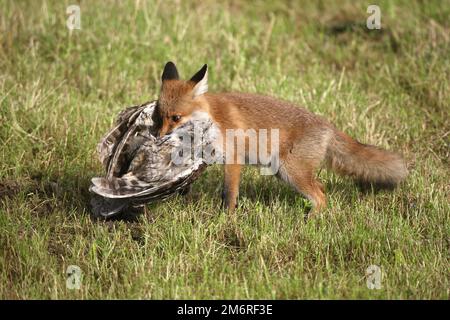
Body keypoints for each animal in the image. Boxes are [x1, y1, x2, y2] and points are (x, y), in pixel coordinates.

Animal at [155, 62, 408, 218]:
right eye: (159, 116)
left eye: (176, 117)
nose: (158, 137)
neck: (211, 120)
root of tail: (327, 125)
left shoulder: (234, 160)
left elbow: (229, 194)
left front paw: (226, 219)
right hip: (284, 172)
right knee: (322, 188)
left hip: (291, 172)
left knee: (321, 197)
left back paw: (309, 221)